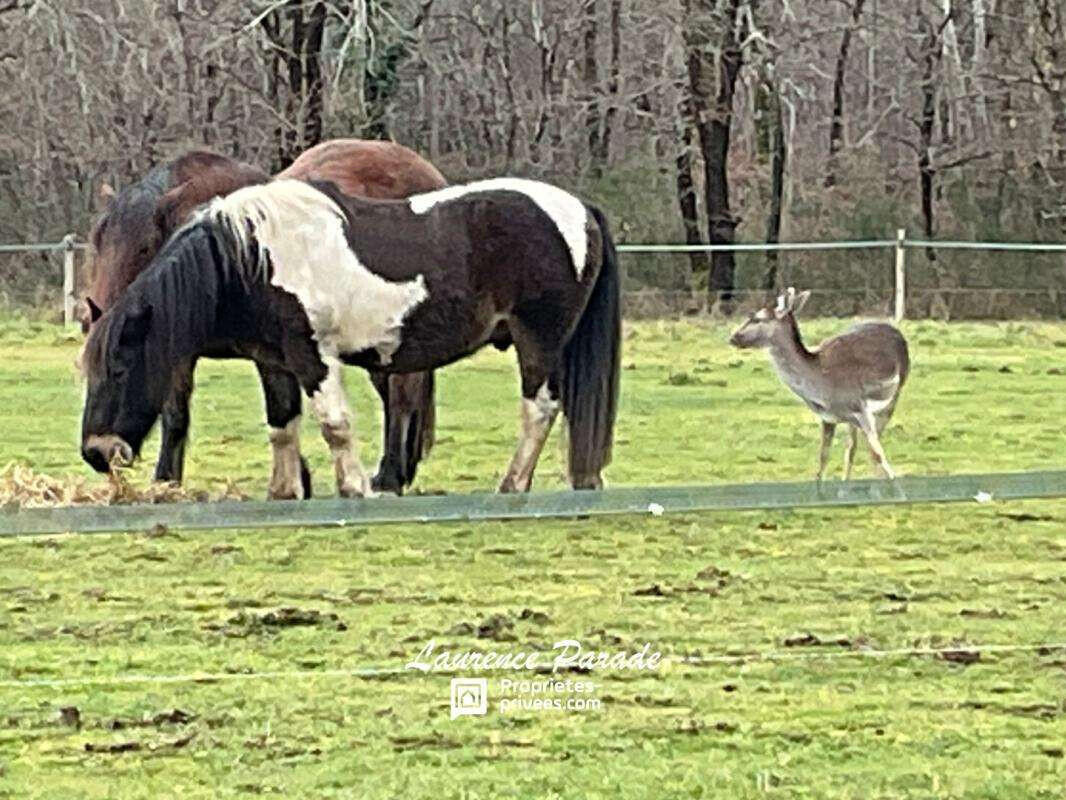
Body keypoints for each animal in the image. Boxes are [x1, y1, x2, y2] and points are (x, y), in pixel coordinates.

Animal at [81, 179, 622, 499]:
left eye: (120, 368)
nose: (96, 452)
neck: (251, 257)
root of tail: (581, 209)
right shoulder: (274, 361)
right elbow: (283, 425)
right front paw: (285, 492)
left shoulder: (313, 356)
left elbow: (334, 424)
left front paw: (356, 488)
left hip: (540, 343)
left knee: (540, 410)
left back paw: (511, 484)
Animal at [729, 292, 912, 482]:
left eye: (758, 318)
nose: (733, 337)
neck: (823, 387)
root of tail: (896, 331)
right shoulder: (828, 417)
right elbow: (822, 459)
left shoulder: (861, 407)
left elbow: (877, 454)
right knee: (851, 447)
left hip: (894, 395)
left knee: (870, 443)